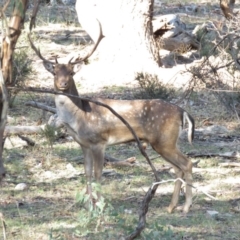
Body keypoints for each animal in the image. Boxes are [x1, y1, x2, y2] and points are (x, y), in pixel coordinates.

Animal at [28, 23, 195, 213]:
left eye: (71, 73)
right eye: (54, 72)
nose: (62, 84)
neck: (79, 117)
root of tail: (182, 111)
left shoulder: (99, 141)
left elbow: (98, 173)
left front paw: (100, 205)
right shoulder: (84, 144)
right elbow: (87, 172)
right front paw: (88, 205)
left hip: (164, 140)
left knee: (187, 163)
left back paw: (186, 207)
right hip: (166, 142)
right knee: (178, 168)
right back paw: (171, 206)